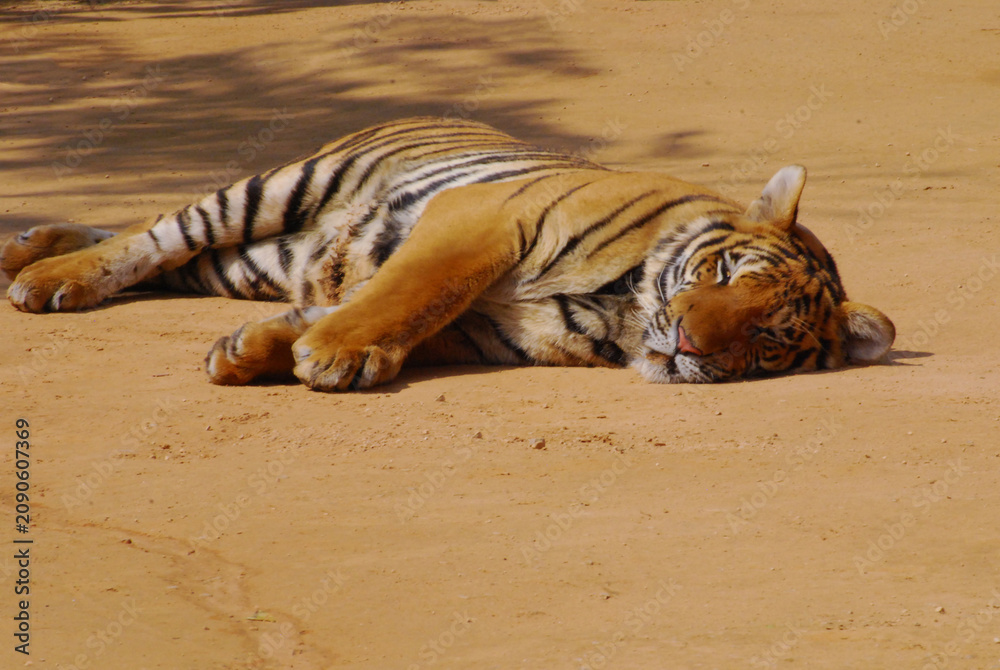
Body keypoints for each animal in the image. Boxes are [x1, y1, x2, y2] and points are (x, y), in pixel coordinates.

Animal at [2, 117, 894, 391]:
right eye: (722, 275)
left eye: (768, 338)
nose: (687, 342)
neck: (624, 309)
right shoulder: (483, 222)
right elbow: (415, 292)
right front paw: (333, 353)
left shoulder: (487, 330)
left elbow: (401, 320)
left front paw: (255, 350)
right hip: (279, 190)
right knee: (155, 232)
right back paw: (46, 276)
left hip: (255, 261)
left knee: (165, 254)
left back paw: (30, 245)